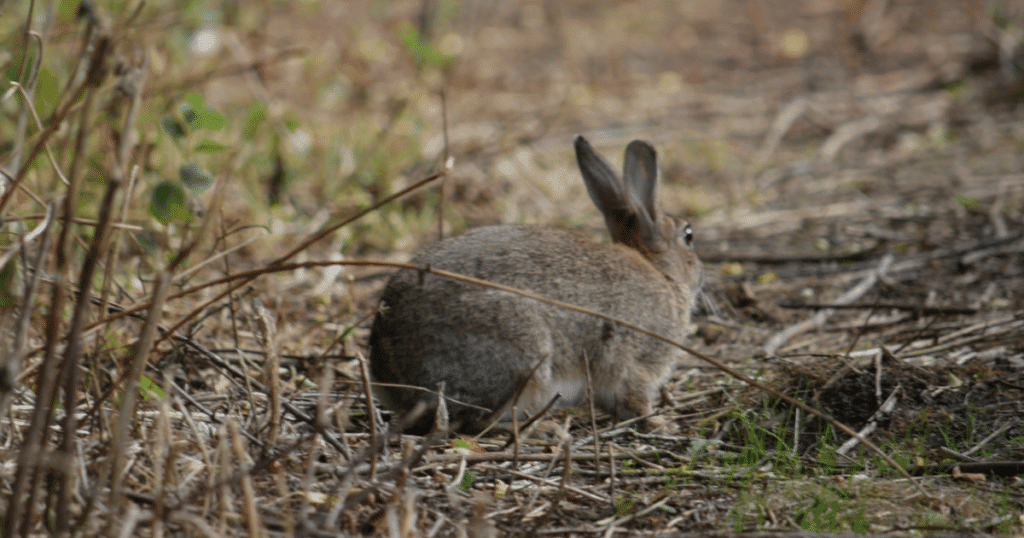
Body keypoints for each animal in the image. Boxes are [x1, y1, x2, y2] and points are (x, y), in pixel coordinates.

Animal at [369, 135, 702, 432]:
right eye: (688, 236)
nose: (701, 274)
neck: (660, 272)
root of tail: (388, 369)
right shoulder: (636, 362)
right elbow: (637, 399)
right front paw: (662, 424)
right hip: (522, 353)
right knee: (474, 423)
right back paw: (544, 430)